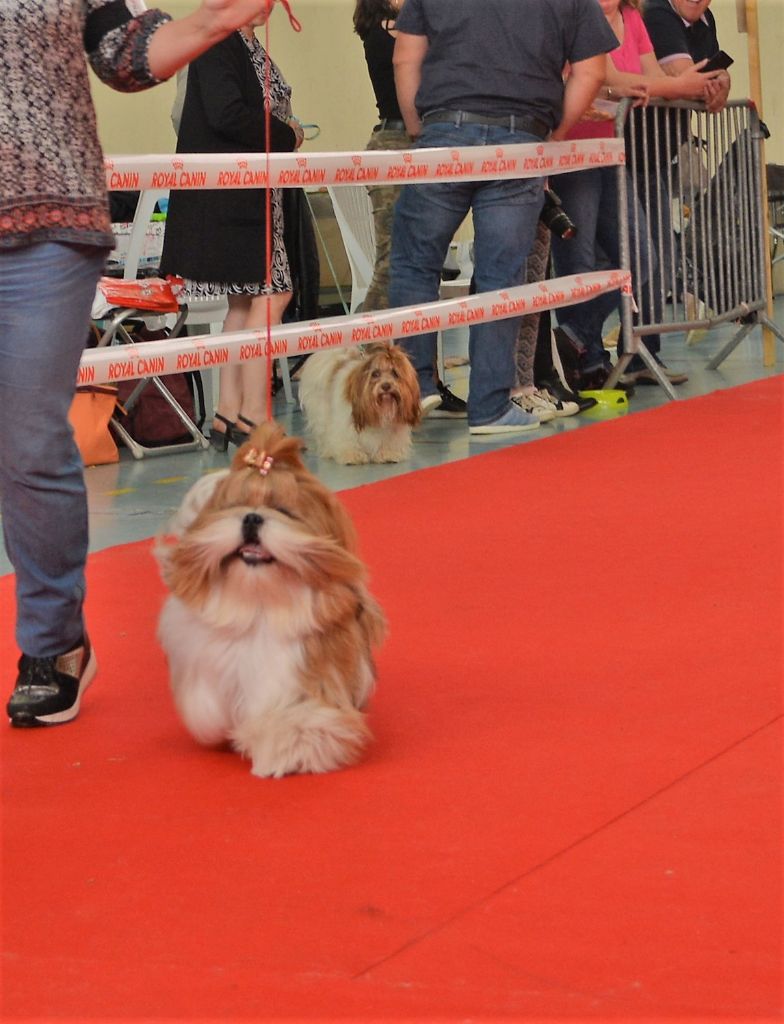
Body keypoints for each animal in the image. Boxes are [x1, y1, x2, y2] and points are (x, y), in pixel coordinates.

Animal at [156, 419, 386, 778]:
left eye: (281, 510)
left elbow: (299, 720)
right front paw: (214, 723)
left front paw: (284, 750)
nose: (252, 517)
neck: (260, 603)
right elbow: (203, 702)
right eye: (235, 506)